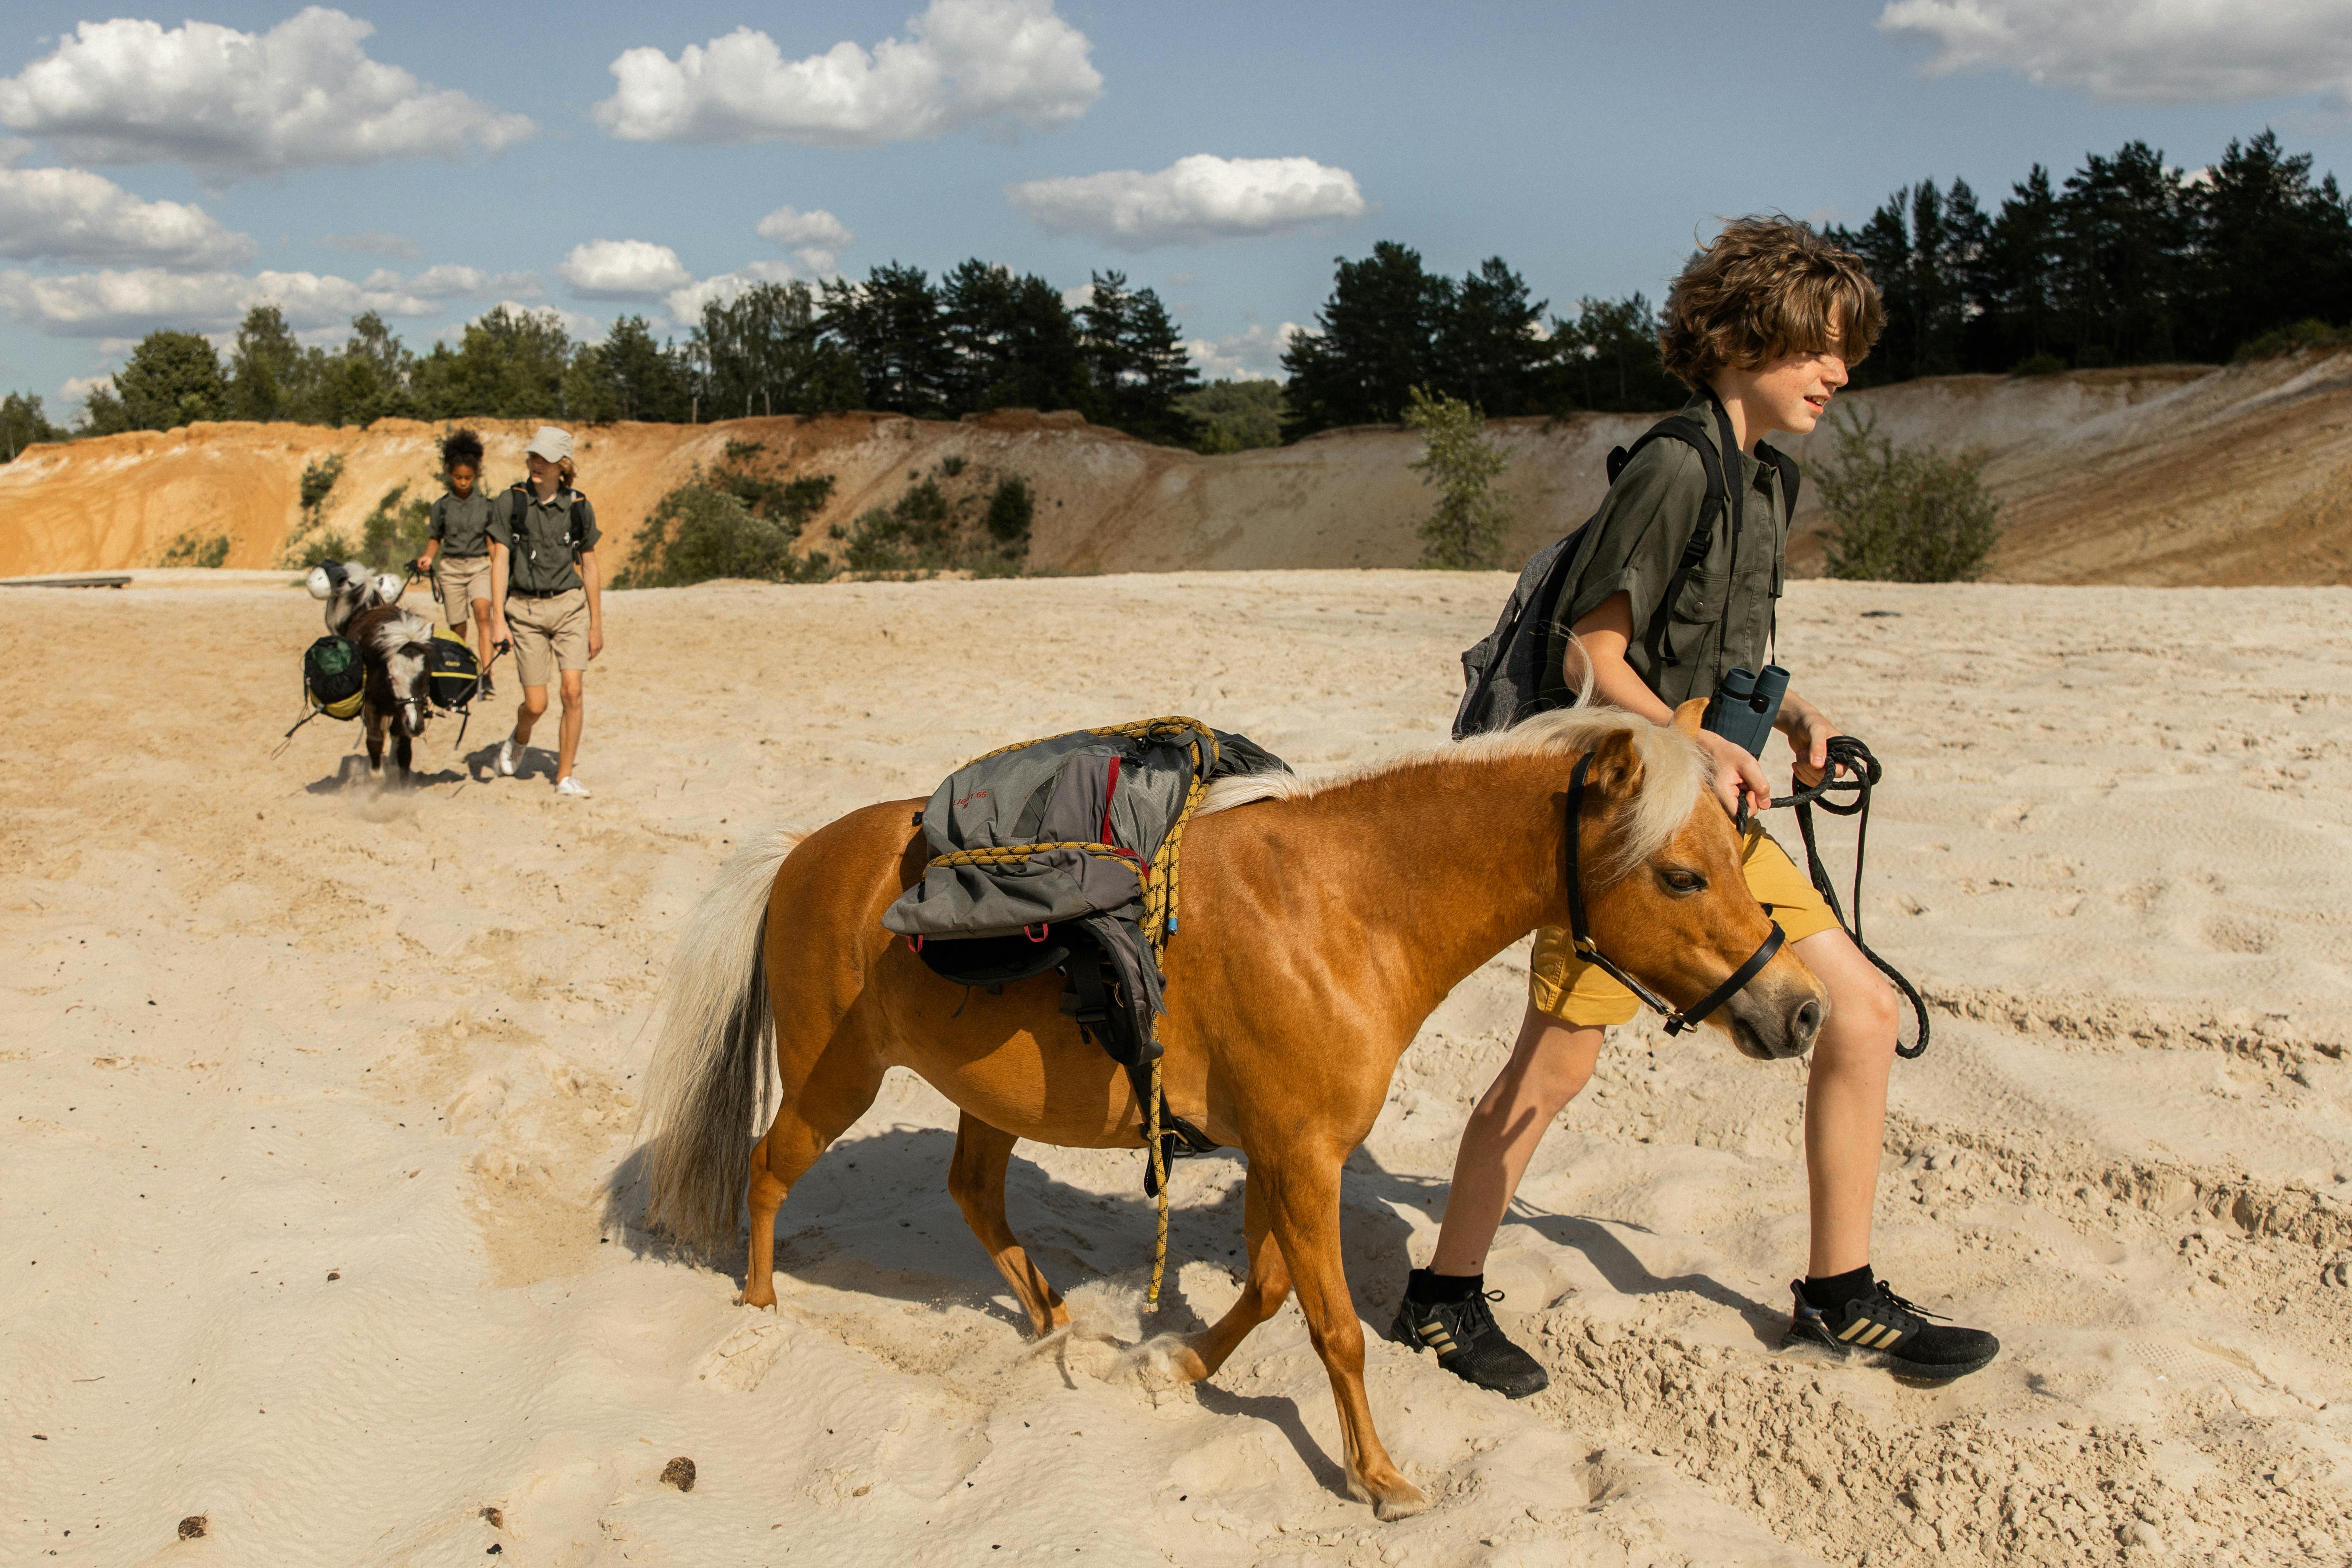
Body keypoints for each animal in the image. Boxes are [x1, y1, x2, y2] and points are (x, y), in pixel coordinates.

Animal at [635, 701, 1825, 1523]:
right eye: (1681, 875)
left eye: (1736, 860)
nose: (1801, 1007)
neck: (1345, 906)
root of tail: (797, 855)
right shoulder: (1301, 1158)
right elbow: (1336, 1325)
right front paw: (1379, 1476)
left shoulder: (1280, 1154)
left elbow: (1266, 1290)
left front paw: (1167, 1365)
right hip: (837, 1076)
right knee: (769, 1167)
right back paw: (761, 1313)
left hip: (983, 1092)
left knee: (973, 1195)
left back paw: (1055, 1325)